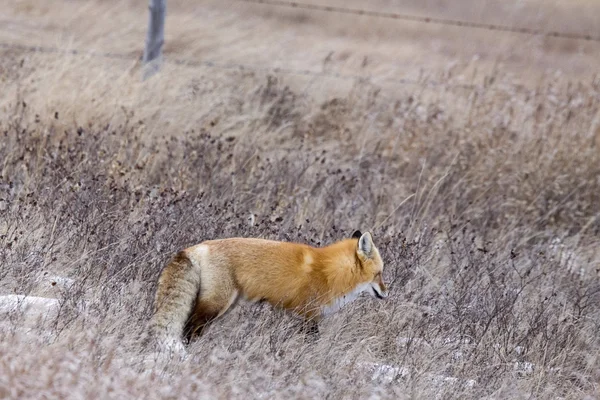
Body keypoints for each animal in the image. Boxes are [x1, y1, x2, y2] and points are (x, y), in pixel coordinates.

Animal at [148, 230, 386, 352]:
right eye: (379, 274)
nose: (386, 293)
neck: (330, 272)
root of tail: (194, 248)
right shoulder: (309, 315)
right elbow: (312, 343)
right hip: (216, 305)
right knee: (189, 328)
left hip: (224, 307)